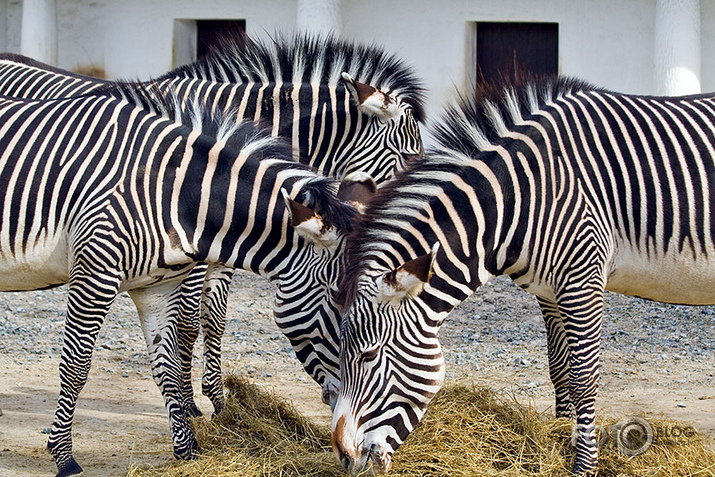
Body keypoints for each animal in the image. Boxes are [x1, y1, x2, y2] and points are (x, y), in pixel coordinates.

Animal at [0, 85, 366, 476]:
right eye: (337, 303)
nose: (350, 441)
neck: (175, 195)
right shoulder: (94, 272)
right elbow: (76, 367)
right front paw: (64, 456)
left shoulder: (155, 289)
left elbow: (168, 366)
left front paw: (187, 449)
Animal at [332, 76, 715, 474]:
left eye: (369, 356)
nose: (344, 456)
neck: (524, 196)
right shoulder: (549, 290)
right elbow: (559, 367)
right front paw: (561, 435)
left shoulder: (584, 277)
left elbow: (583, 376)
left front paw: (584, 466)